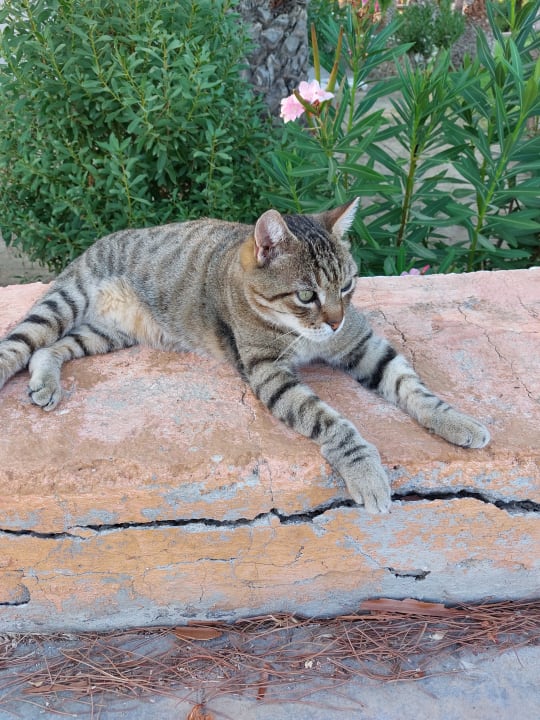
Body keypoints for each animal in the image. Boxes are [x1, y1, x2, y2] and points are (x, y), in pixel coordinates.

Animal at [0, 199, 490, 513]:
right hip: (64, 302)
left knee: (50, 349)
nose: (334, 321)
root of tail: (95, 243)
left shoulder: (361, 343)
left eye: (348, 286)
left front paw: (456, 421)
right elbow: (330, 421)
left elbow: (412, 386)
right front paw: (365, 469)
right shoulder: (268, 373)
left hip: (105, 333)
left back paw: (45, 381)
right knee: (21, 343)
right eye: (307, 295)